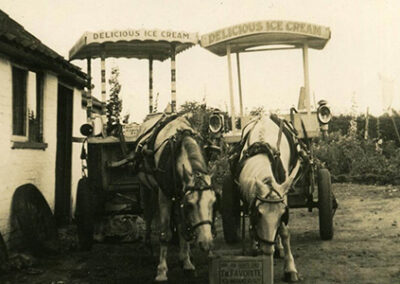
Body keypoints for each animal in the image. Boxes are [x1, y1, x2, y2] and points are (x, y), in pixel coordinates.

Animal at [135, 115, 217, 282]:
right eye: (190, 205)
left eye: (213, 203)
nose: (206, 243)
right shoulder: (165, 196)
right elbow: (165, 233)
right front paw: (161, 271)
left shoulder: (181, 196)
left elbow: (182, 227)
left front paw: (187, 262)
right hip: (146, 189)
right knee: (148, 215)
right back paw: (147, 246)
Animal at [238, 115, 300, 282]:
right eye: (258, 214)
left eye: (283, 215)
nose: (267, 248)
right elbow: (251, 226)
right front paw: (254, 246)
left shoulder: (283, 194)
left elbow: (284, 232)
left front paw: (290, 268)